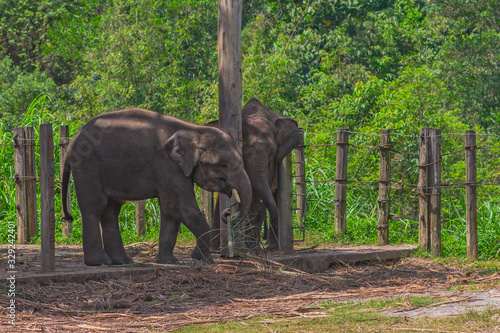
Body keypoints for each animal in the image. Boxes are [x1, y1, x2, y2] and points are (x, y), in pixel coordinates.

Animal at [60, 108, 252, 264]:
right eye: (224, 165)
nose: (228, 212)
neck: (195, 129)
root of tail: (72, 142)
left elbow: (170, 210)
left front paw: (169, 262)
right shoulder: (168, 164)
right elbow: (179, 205)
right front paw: (202, 260)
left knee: (111, 210)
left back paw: (123, 262)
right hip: (88, 165)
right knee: (94, 207)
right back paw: (100, 262)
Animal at [207, 98, 300, 252]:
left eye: (272, 152)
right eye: (241, 150)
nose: (229, 212)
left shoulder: (271, 164)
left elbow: (256, 197)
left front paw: (252, 250)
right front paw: (215, 249)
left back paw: (271, 247)